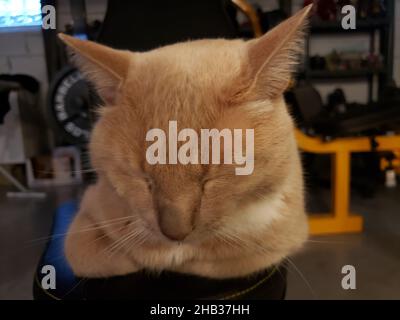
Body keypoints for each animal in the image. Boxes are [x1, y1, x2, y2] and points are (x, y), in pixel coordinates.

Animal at [60, 4, 312, 278]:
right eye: (145, 180)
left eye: (211, 179)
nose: (175, 234)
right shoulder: (90, 208)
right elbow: (90, 253)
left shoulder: (280, 237)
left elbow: (228, 256)